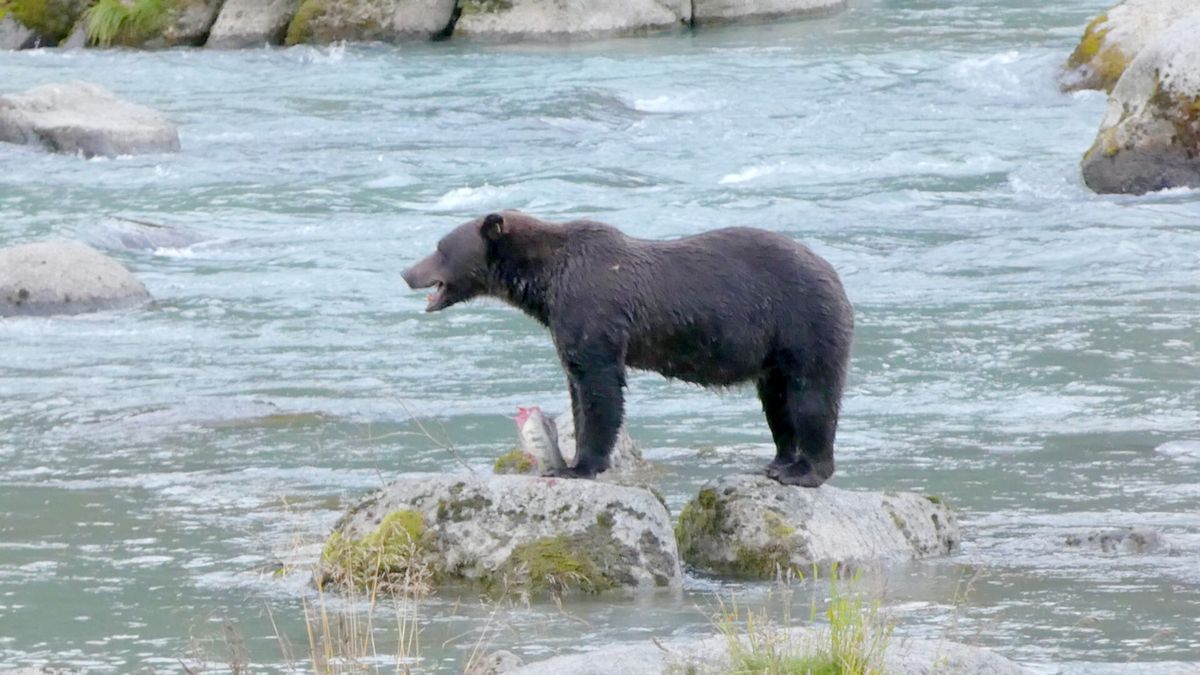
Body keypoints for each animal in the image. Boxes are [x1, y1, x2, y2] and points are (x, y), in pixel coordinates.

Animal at [403, 210, 854, 482]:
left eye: (441, 248)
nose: (407, 272)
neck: (546, 281)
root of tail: (834, 273)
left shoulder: (594, 310)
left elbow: (600, 387)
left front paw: (580, 465)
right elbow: (577, 388)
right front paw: (574, 459)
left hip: (803, 323)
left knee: (811, 396)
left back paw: (805, 470)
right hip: (774, 350)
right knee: (777, 401)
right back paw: (779, 460)